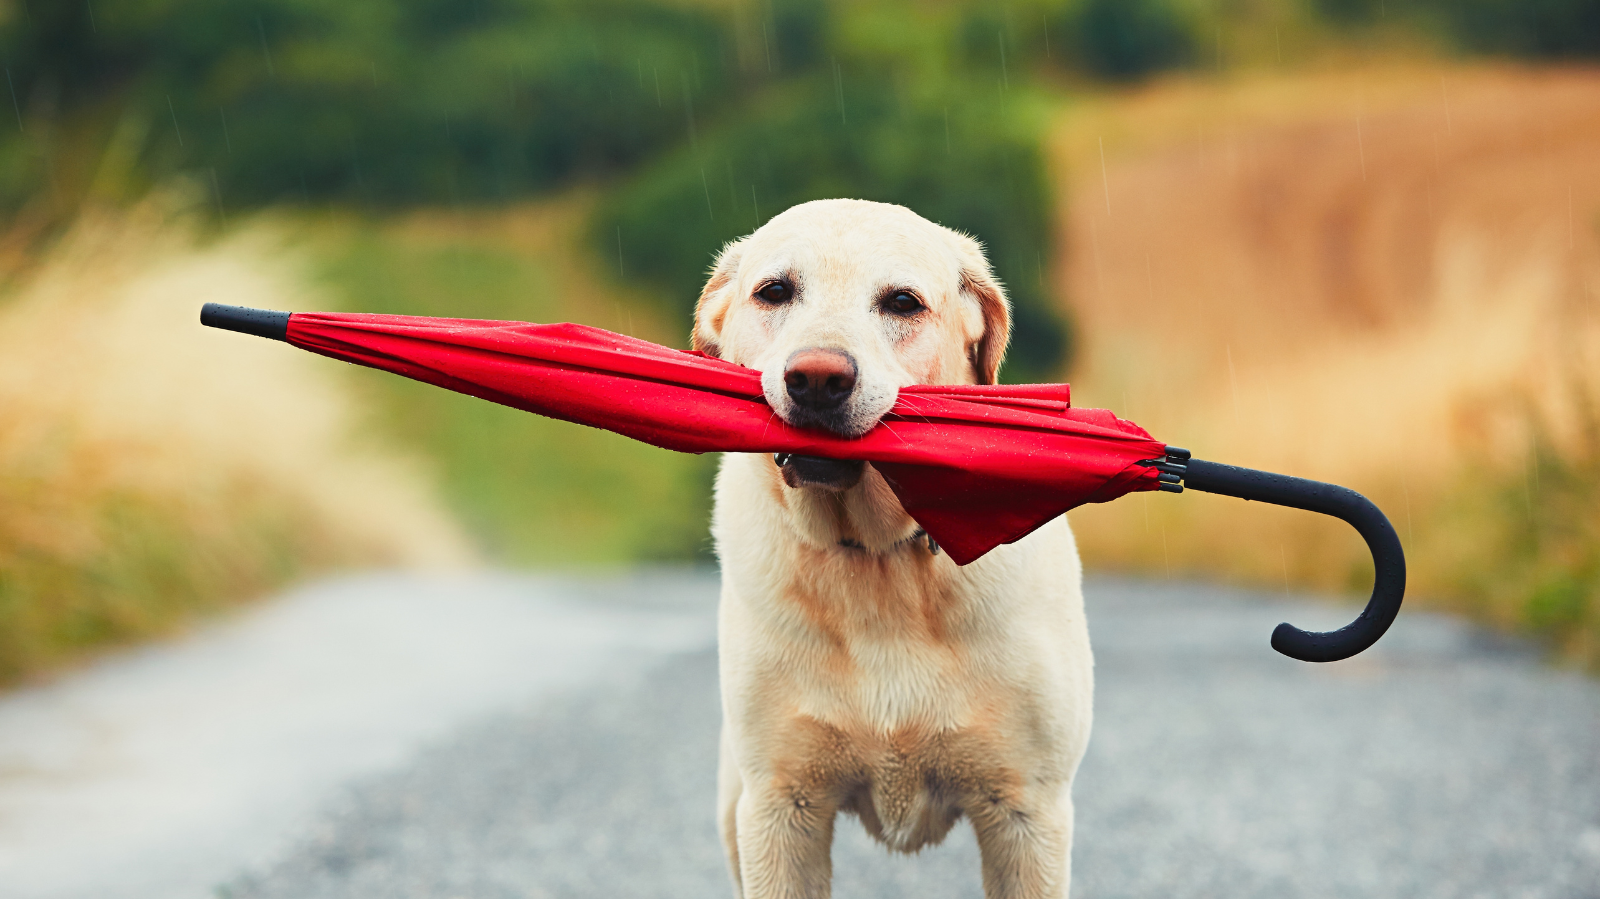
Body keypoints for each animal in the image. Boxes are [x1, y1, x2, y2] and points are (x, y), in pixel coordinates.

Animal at [700, 197, 1100, 895]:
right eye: (774, 292)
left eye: (902, 303)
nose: (817, 378)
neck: (877, 557)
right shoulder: (780, 809)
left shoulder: (1029, 813)